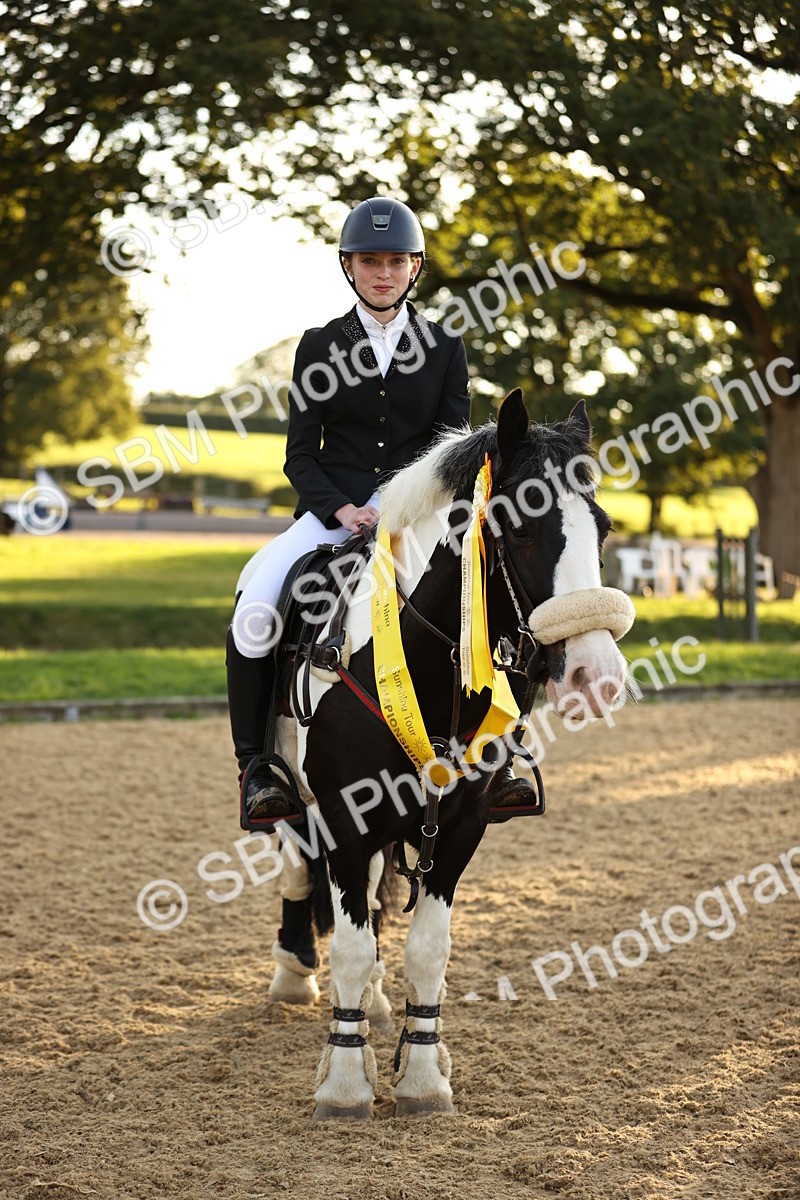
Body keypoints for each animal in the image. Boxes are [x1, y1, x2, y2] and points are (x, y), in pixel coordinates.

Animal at [263, 389, 634, 1119]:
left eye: (601, 528)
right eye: (523, 528)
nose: (597, 676)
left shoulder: (461, 826)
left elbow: (428, 949)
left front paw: (422, 1075)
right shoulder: (344, 818)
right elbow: (348, 945)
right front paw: (345, 1084)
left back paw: (376, 1006)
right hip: (296, 794)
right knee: (299, 869)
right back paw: (295, 975)